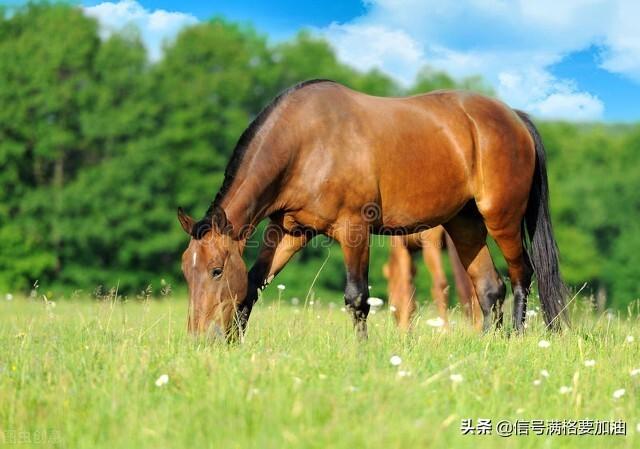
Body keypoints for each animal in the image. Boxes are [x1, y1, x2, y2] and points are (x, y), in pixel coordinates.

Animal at [178, 79, 568, 338]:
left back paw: (516, 339)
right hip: (465, 224)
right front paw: (235, 344)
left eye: (216, 270)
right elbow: (253, 284)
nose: (200, 337)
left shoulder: (354, 229)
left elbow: (357, 297)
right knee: (488, 288)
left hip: (501, 218)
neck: (306, 142)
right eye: (186, 271)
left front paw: (361, 354)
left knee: (522, 275)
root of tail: (514, 116)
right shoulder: (290, 232)